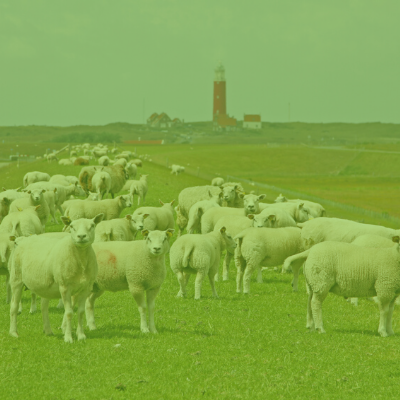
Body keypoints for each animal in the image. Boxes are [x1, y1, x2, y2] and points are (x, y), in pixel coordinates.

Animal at [9, 214, 104, 342]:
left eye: (92, 225)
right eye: (71, 226)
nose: (81, 236)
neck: (80, 260)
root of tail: (23, 239)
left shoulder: (86, 288)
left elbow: (80, 312)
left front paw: (81, 336)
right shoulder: (64, 287)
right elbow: (69, 312)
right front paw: (68, 338)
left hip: (44, 286)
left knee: (44, 307)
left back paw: (48, 331)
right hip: (16, 279)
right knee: (13, 306)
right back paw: (14, 332)